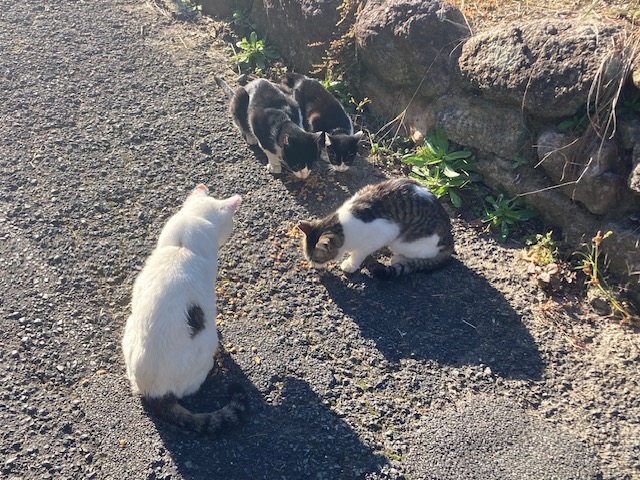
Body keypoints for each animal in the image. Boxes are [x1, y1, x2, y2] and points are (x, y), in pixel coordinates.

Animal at [298, 178, 456, 280]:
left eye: (316, 259)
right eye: (308, 257)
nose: (312, 265)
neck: (342, 226)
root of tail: (450, 242)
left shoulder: (383, 234)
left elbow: (359, 253)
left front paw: (350, 264)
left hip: (401, 242)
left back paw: (399, 258)